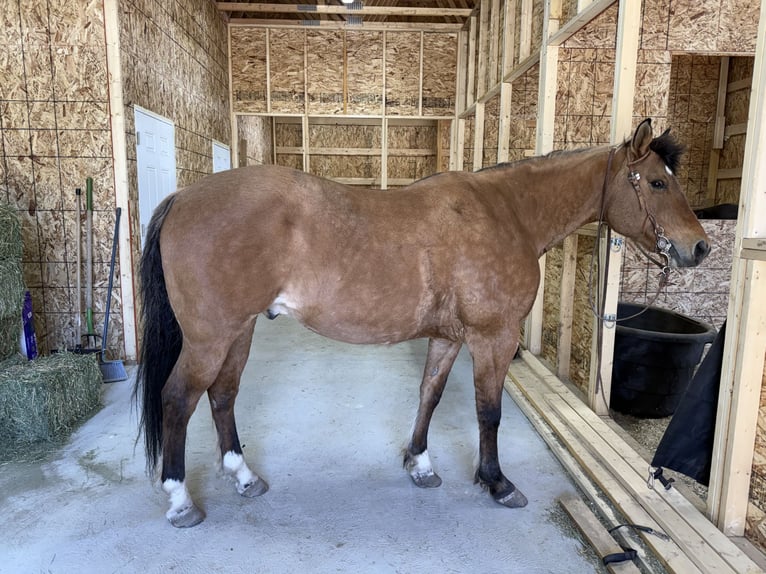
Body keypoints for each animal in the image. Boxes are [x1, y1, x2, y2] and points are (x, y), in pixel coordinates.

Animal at [136, 118, 710, 527]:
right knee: (178, 400)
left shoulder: (447, 339)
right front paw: (497, 482)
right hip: (210, 338)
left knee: (222, 395)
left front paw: (421, 464)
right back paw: (180, 500)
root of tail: (182, 197)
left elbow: (429, 395)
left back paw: (243, 476)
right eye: (656, 183)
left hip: (239, 331)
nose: (699, 247)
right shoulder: (492, 340)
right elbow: (488, 412)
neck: (508, 214)